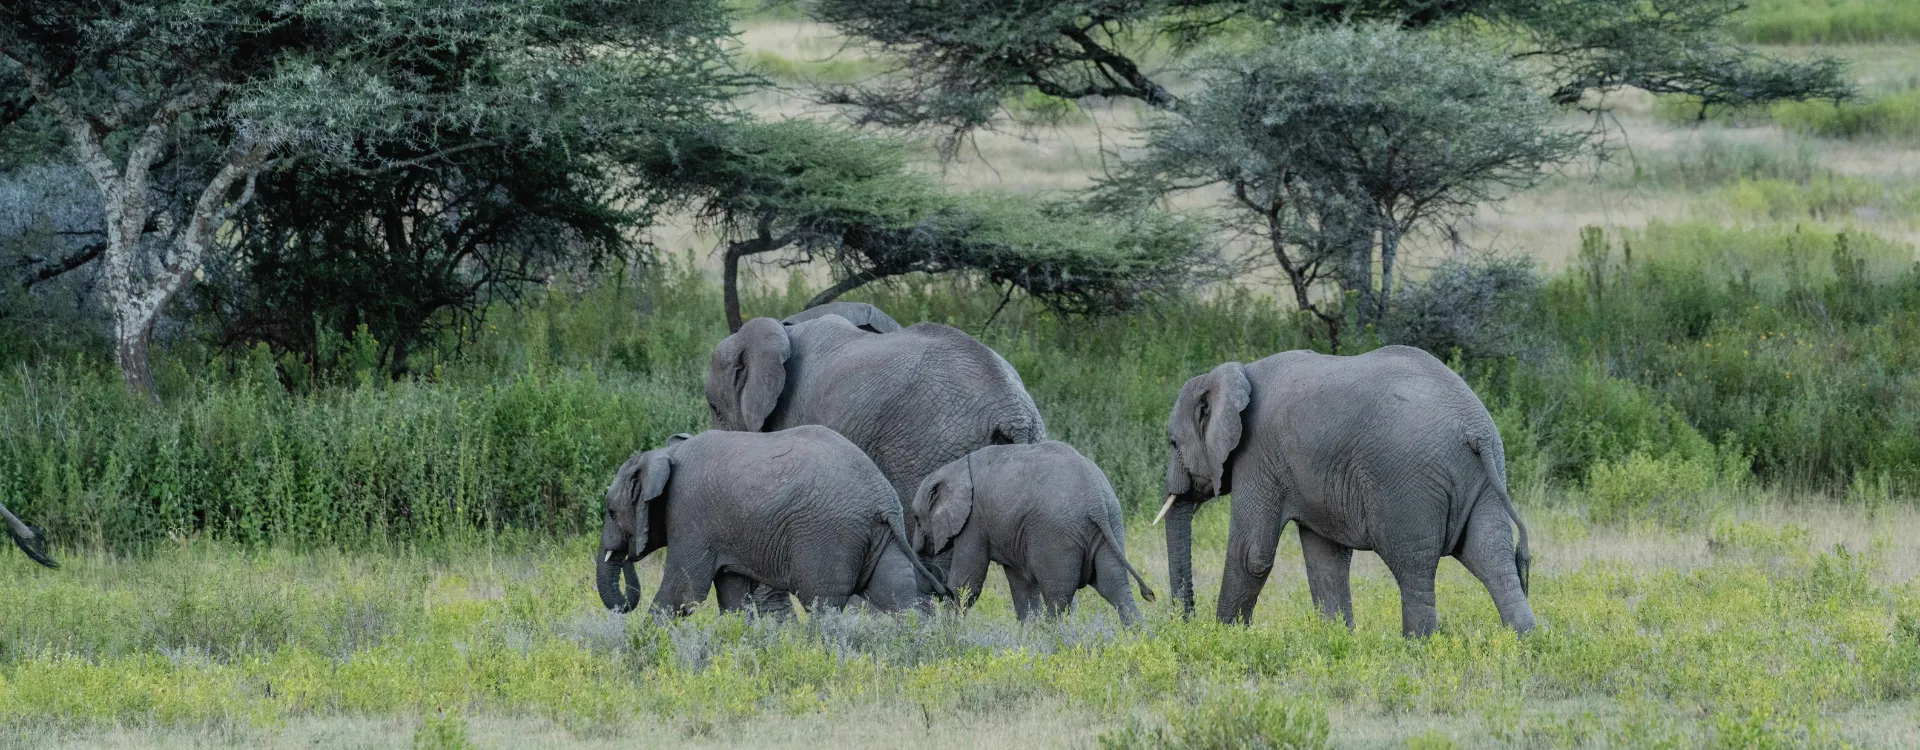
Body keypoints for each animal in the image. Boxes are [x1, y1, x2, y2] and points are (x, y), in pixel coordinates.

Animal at [594, 427, 951, 617]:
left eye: (611, 511)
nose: (627, 554)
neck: (666, 456)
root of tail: (883, 499)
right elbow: (733, 598)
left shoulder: (689, 516)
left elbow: (682, 594)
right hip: (880, 535)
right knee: (899, 596)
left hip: (828, 535)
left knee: (822, 605)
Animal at [910, 441, 1156, 624]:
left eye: (916, 518)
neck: (955, 468)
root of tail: (1095, 500)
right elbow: (1021, 586)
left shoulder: (974, 521)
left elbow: (967, 582)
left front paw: (948, 632)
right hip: (1112, 523)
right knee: (1115, 587)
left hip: (1056, 535)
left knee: (1058, 597)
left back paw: (1057, 641)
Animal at [1155, 345, 1534, 636]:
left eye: (1172, 442)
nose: (1185, 622)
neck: (1235, 373)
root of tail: (1474, 429)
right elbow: (1325, 560)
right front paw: (1337, 640)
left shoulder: (1257, 454)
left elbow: (1252, 554)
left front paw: (1226, 638)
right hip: (1487, 476)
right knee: (1491, 557)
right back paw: (1524, 640)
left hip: (1408, 483)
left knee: (1413, 565)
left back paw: (1419, 645)